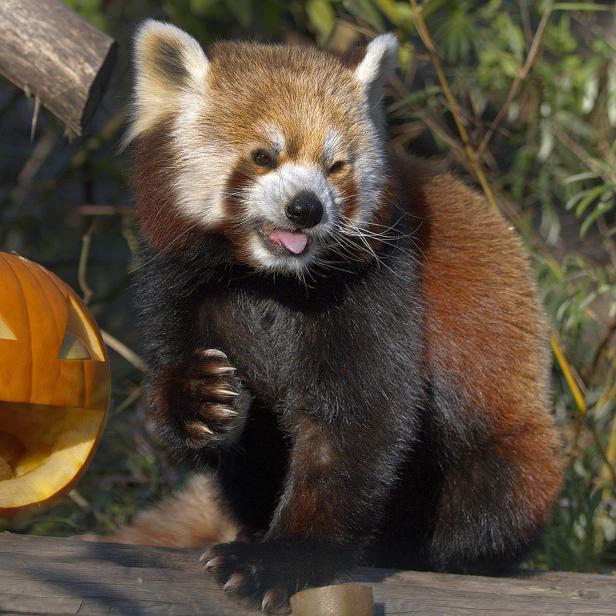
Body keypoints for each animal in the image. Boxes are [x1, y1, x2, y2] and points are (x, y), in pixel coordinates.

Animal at [118, 18, 564, 612]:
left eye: (335, 166)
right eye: (264, 156)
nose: (306, 207)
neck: (269, 280)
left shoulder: (380, 290)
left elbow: (357, 421)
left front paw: (282, 559)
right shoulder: (178, 283)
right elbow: (188, 386)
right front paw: (198, 396)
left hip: (510, 442)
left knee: (492, 492)